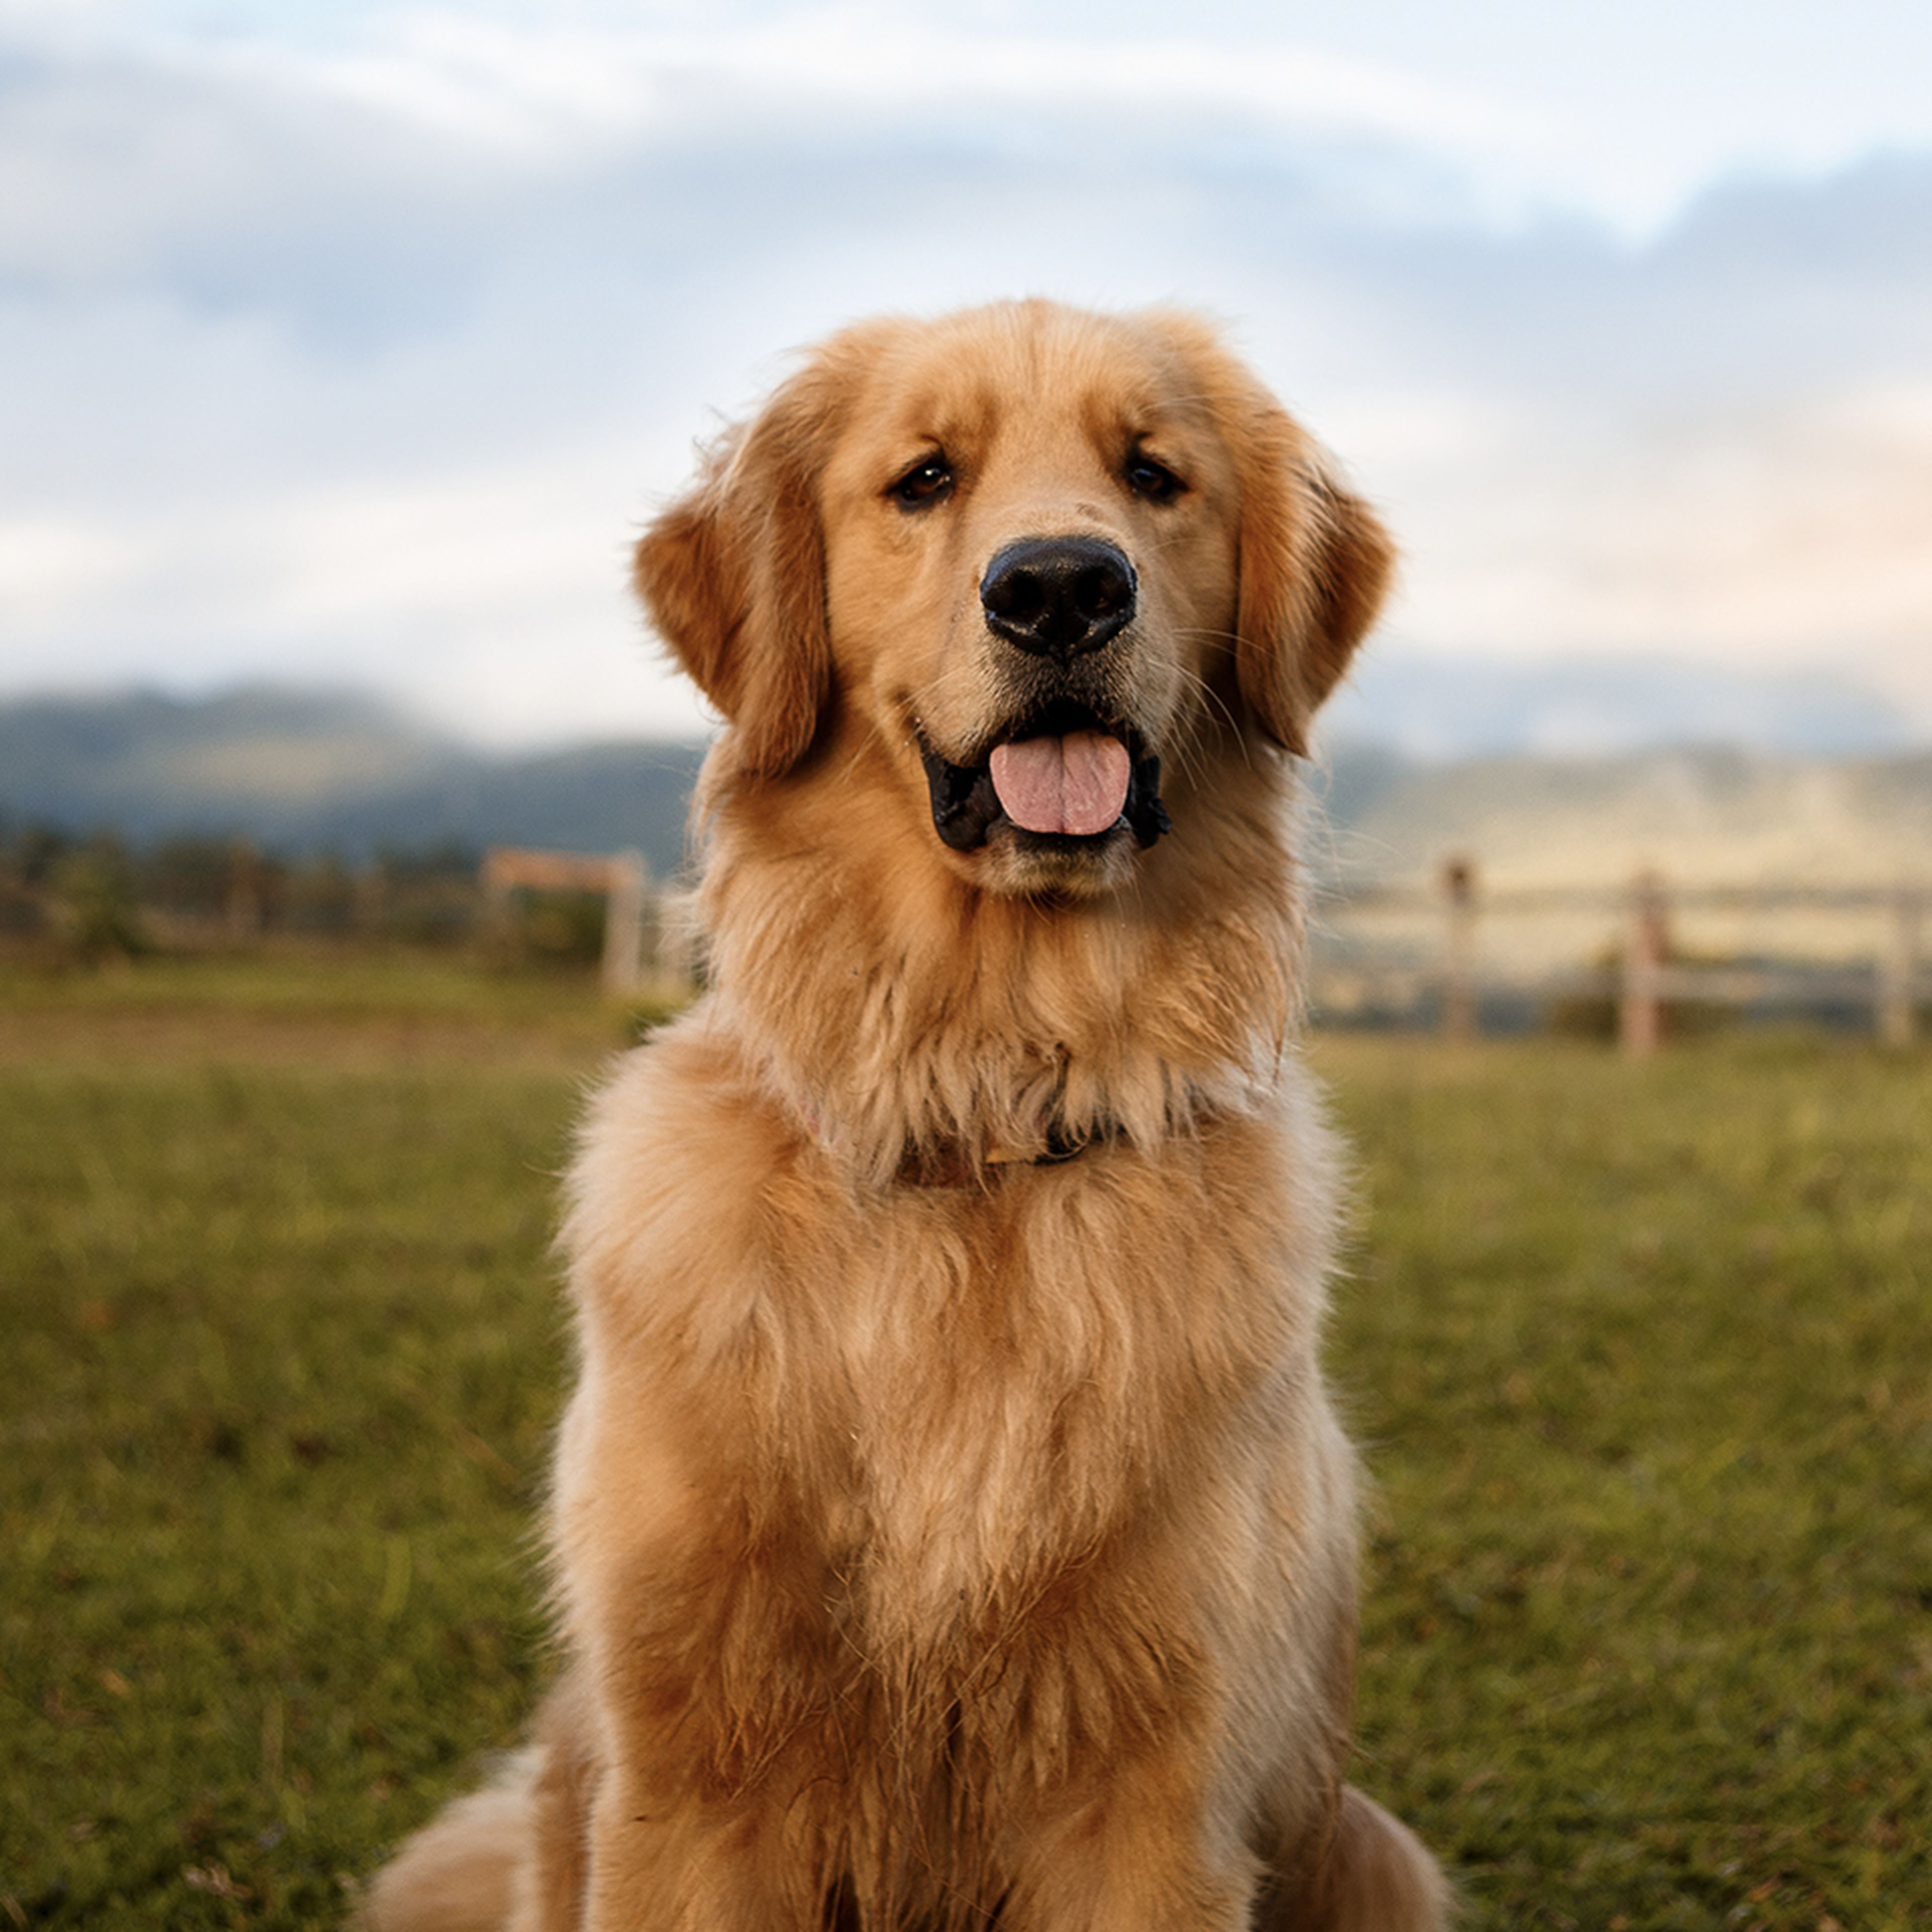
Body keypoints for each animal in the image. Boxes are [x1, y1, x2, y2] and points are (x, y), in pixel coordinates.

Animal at [365, 301, 1453, 1932]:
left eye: (1153, 474)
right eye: (924, 478)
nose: (1060, 587)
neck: (982, 1112)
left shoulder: (1156, 1796)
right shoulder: (692, 1781)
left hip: (1375, 1849)